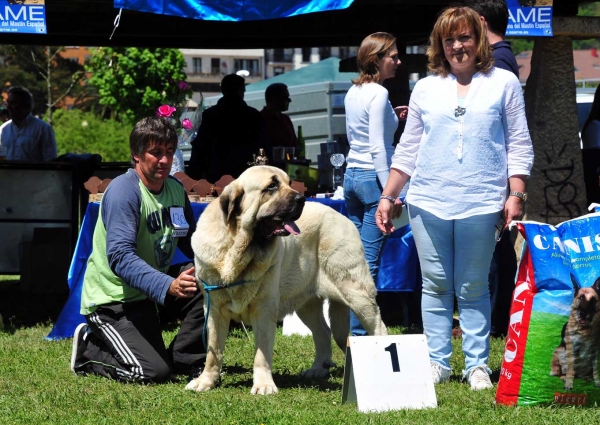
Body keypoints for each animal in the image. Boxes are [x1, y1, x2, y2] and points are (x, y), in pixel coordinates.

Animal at [188, 166, 390, 394]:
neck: (238, 248)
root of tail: (341, 216)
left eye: (289, 183)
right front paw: (206, 381)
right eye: (271, 186)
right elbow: (213, 352)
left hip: (356, 292)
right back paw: (318, 369)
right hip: (307, 304)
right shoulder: (214, 310)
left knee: (378, 328)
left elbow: (261, 354)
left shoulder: (264, 309)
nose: (301, 198)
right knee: (323, 332)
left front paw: (264, 385)